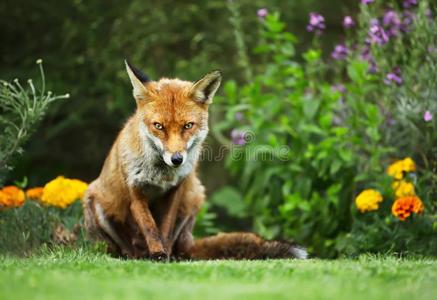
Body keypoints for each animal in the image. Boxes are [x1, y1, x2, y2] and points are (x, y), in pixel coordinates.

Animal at [82, 60, 306, 260]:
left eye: (188, 126)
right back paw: (136, 256)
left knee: (181, 247)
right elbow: (150, 227)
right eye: (159, 126)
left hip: (195, 196)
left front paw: (163, 255)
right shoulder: (136, 193)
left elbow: (164, 228)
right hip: (96, 201)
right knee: (128, 249)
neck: (161, 175)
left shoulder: (176, 190)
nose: (177, 159)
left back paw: (175, 256)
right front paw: (157, 253)